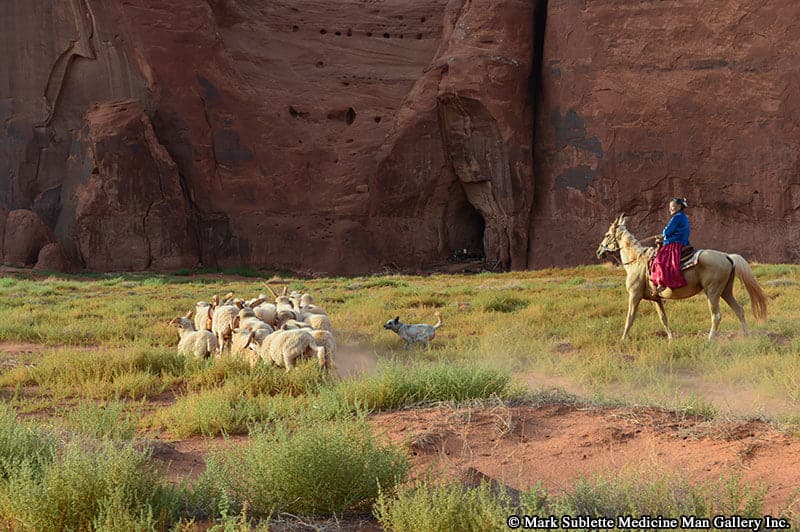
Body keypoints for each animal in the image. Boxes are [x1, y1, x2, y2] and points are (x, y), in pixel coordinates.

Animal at [596, 214, 767, 340]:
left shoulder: (634, 295)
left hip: (712, 292)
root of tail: (727, 256)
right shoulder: (655, 299)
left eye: (607, 234)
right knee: (739, 310)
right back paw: (746, 336)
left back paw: (710, 339)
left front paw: (623, 339)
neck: (637, 261)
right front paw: (671, 338)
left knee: (716, 315)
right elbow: (663, 318)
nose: (599, 251)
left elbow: (630, 318)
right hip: (725, 291)